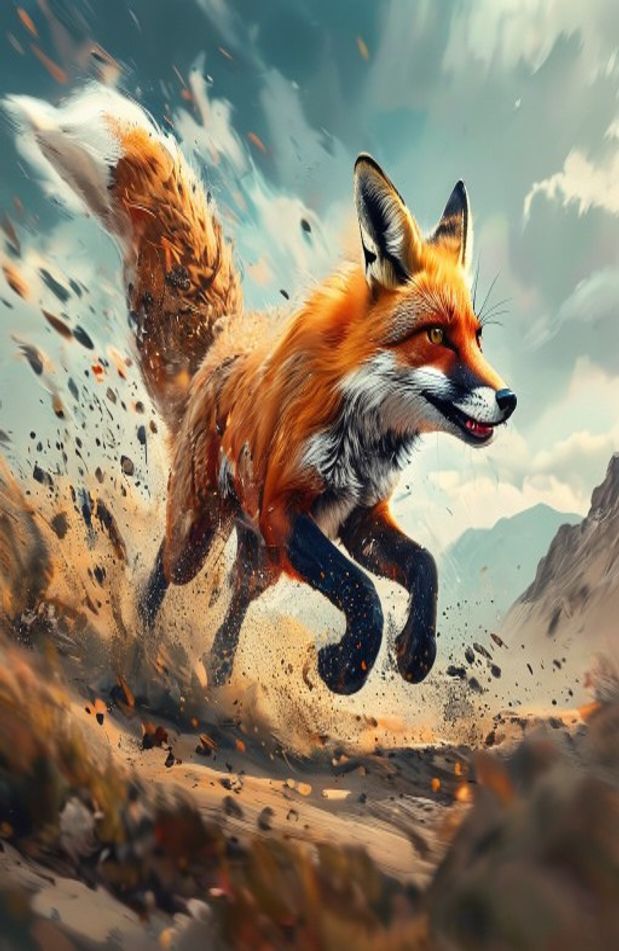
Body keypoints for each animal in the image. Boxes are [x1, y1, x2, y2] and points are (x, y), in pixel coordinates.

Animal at [6, 86, 516, 695]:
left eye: (479, 337)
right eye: (437, 336)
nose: (509, 400)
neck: (361, 421)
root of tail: (227, 335)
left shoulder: (359, 518)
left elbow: (423, 566)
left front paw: (416, 652)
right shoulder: (282, 509)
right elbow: (362, 592)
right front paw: (346, 667)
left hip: (259, 559)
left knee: (236, 604)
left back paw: (217, 674)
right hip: (200, 530)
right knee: (165, 567)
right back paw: (139, 638)